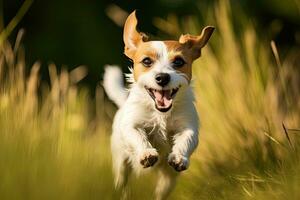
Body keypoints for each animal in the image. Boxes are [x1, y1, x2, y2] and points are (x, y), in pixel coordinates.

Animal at [103, 10, 213, 200]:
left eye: (178, 62)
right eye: (147, 61)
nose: (162, 77)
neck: (161, 113)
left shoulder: (188, 126)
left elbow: (187, 139)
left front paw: (179, 157)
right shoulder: (132, 125)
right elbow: (137, 135)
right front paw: (147, 153)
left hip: (168, 181)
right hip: (121, 165)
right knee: (122, 183)